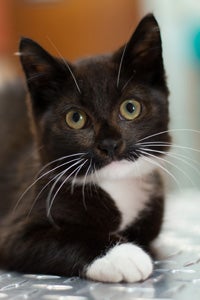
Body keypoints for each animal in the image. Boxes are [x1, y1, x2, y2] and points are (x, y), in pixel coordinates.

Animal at [0, 13, 170, 282]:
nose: (110, 144)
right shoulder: (14, 231)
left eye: (130, 108)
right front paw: (121, 255)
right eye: (75, 118)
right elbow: (61, 238)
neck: (116, 185)